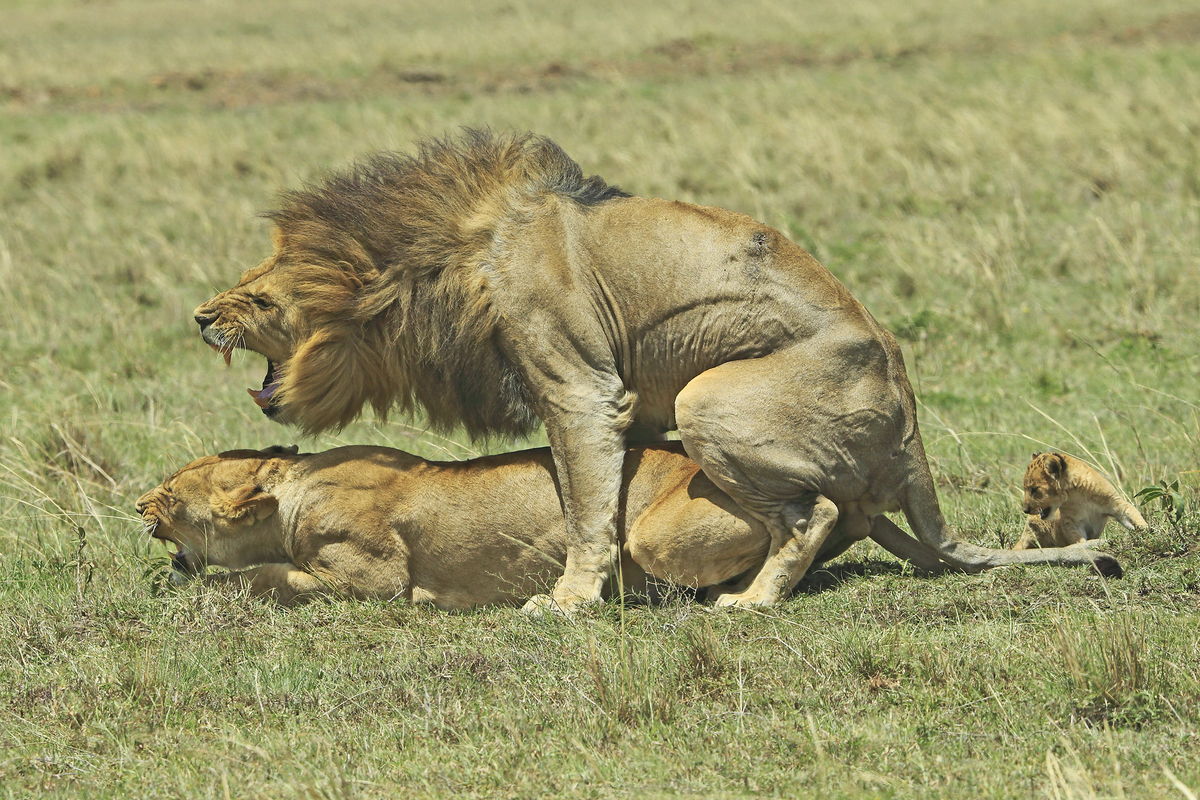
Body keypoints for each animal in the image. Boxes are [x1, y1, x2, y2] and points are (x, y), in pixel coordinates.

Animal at [193, 128, 1119, 612]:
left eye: (261, 297)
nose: (201, 317)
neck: (452, 260)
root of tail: (909, 415)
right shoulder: (620, 403)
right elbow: (606, 492)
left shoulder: (579, 389)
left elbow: (586, 511)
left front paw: (566, 602)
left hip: (712, 398)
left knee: (813, 509)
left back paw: (750, 603)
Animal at [1013, 452, 1147, 550]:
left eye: (1034, 489)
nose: (1025, 510)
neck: (1077, 494)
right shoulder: (1071, 521)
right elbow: (1077, 537)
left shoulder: (1116, 504)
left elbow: (1133, 514)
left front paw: (1145, 530)